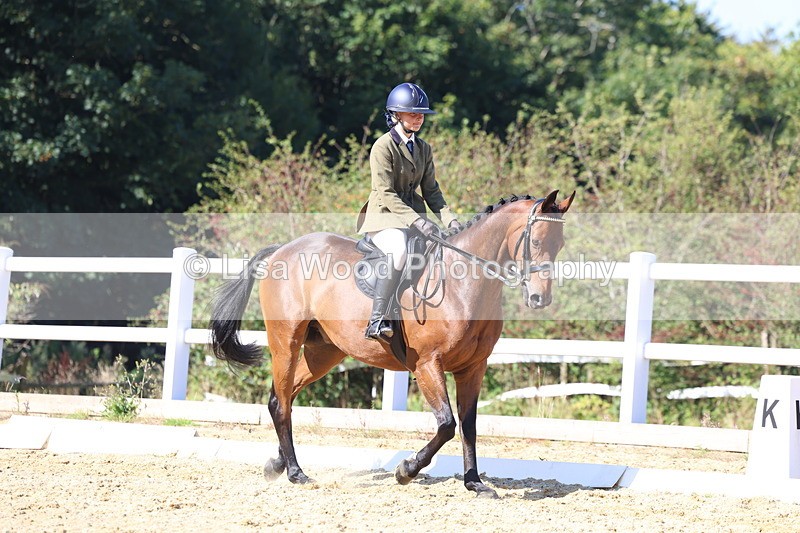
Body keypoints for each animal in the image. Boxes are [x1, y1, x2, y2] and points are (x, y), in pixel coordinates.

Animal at [209, 189, 575, 498]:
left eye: (560, 244)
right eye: (537, 240)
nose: (540, 298)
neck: (464, 283)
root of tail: (283, 249)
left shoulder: (474, 367)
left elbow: (468, 425)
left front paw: (474, 483)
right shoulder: (428, 364)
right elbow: (447, 424)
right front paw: (406, 470)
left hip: (323, 351)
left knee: (282, 397)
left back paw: (278, 463)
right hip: (286, 340)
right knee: (281, 401)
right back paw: (296, 472)